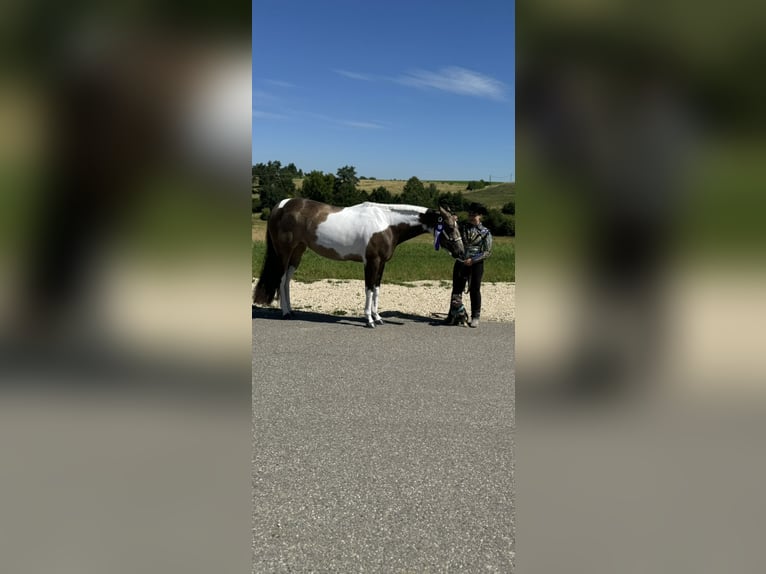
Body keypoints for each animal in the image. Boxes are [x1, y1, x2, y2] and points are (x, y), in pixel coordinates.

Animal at [253, 198, 463, 327]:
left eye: (457, 224)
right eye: (449, 226)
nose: (461, 252)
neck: (386, 222)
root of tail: (280, 206)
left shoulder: (382, 263)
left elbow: (377, 289)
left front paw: (378, 317)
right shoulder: (371, 262)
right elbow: (369, 289)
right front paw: (369, 320)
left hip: (298, 252)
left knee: (287, 281)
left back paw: (291, 310)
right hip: (284, 252)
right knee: (281, 280)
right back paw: (285, 313)